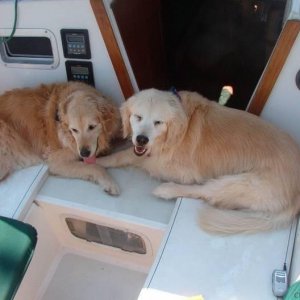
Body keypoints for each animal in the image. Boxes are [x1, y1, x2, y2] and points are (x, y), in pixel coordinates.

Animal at [99, 89, 300, 234]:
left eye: (158, 122)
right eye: (138, 117)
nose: (141, 139)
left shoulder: (177, 169)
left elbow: (128, 156)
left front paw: (99, 162)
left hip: (242, 182)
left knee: (205, 192)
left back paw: (167, 190)